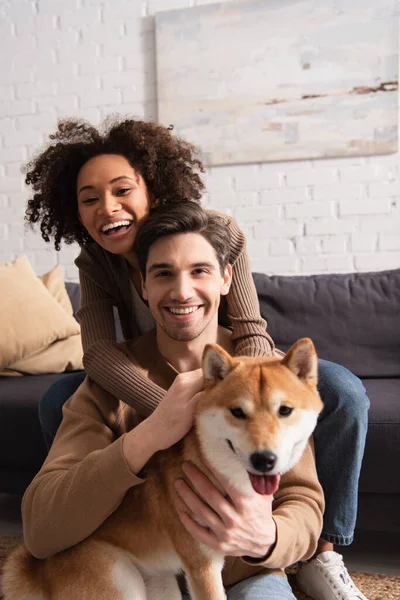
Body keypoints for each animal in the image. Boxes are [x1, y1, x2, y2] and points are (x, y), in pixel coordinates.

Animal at [1, 338, 324, 600]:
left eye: (285, 410)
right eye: (237, 412)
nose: (264, 459)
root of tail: (40, 572)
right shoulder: (203, 565)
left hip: (160, 581)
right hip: (119, 581)